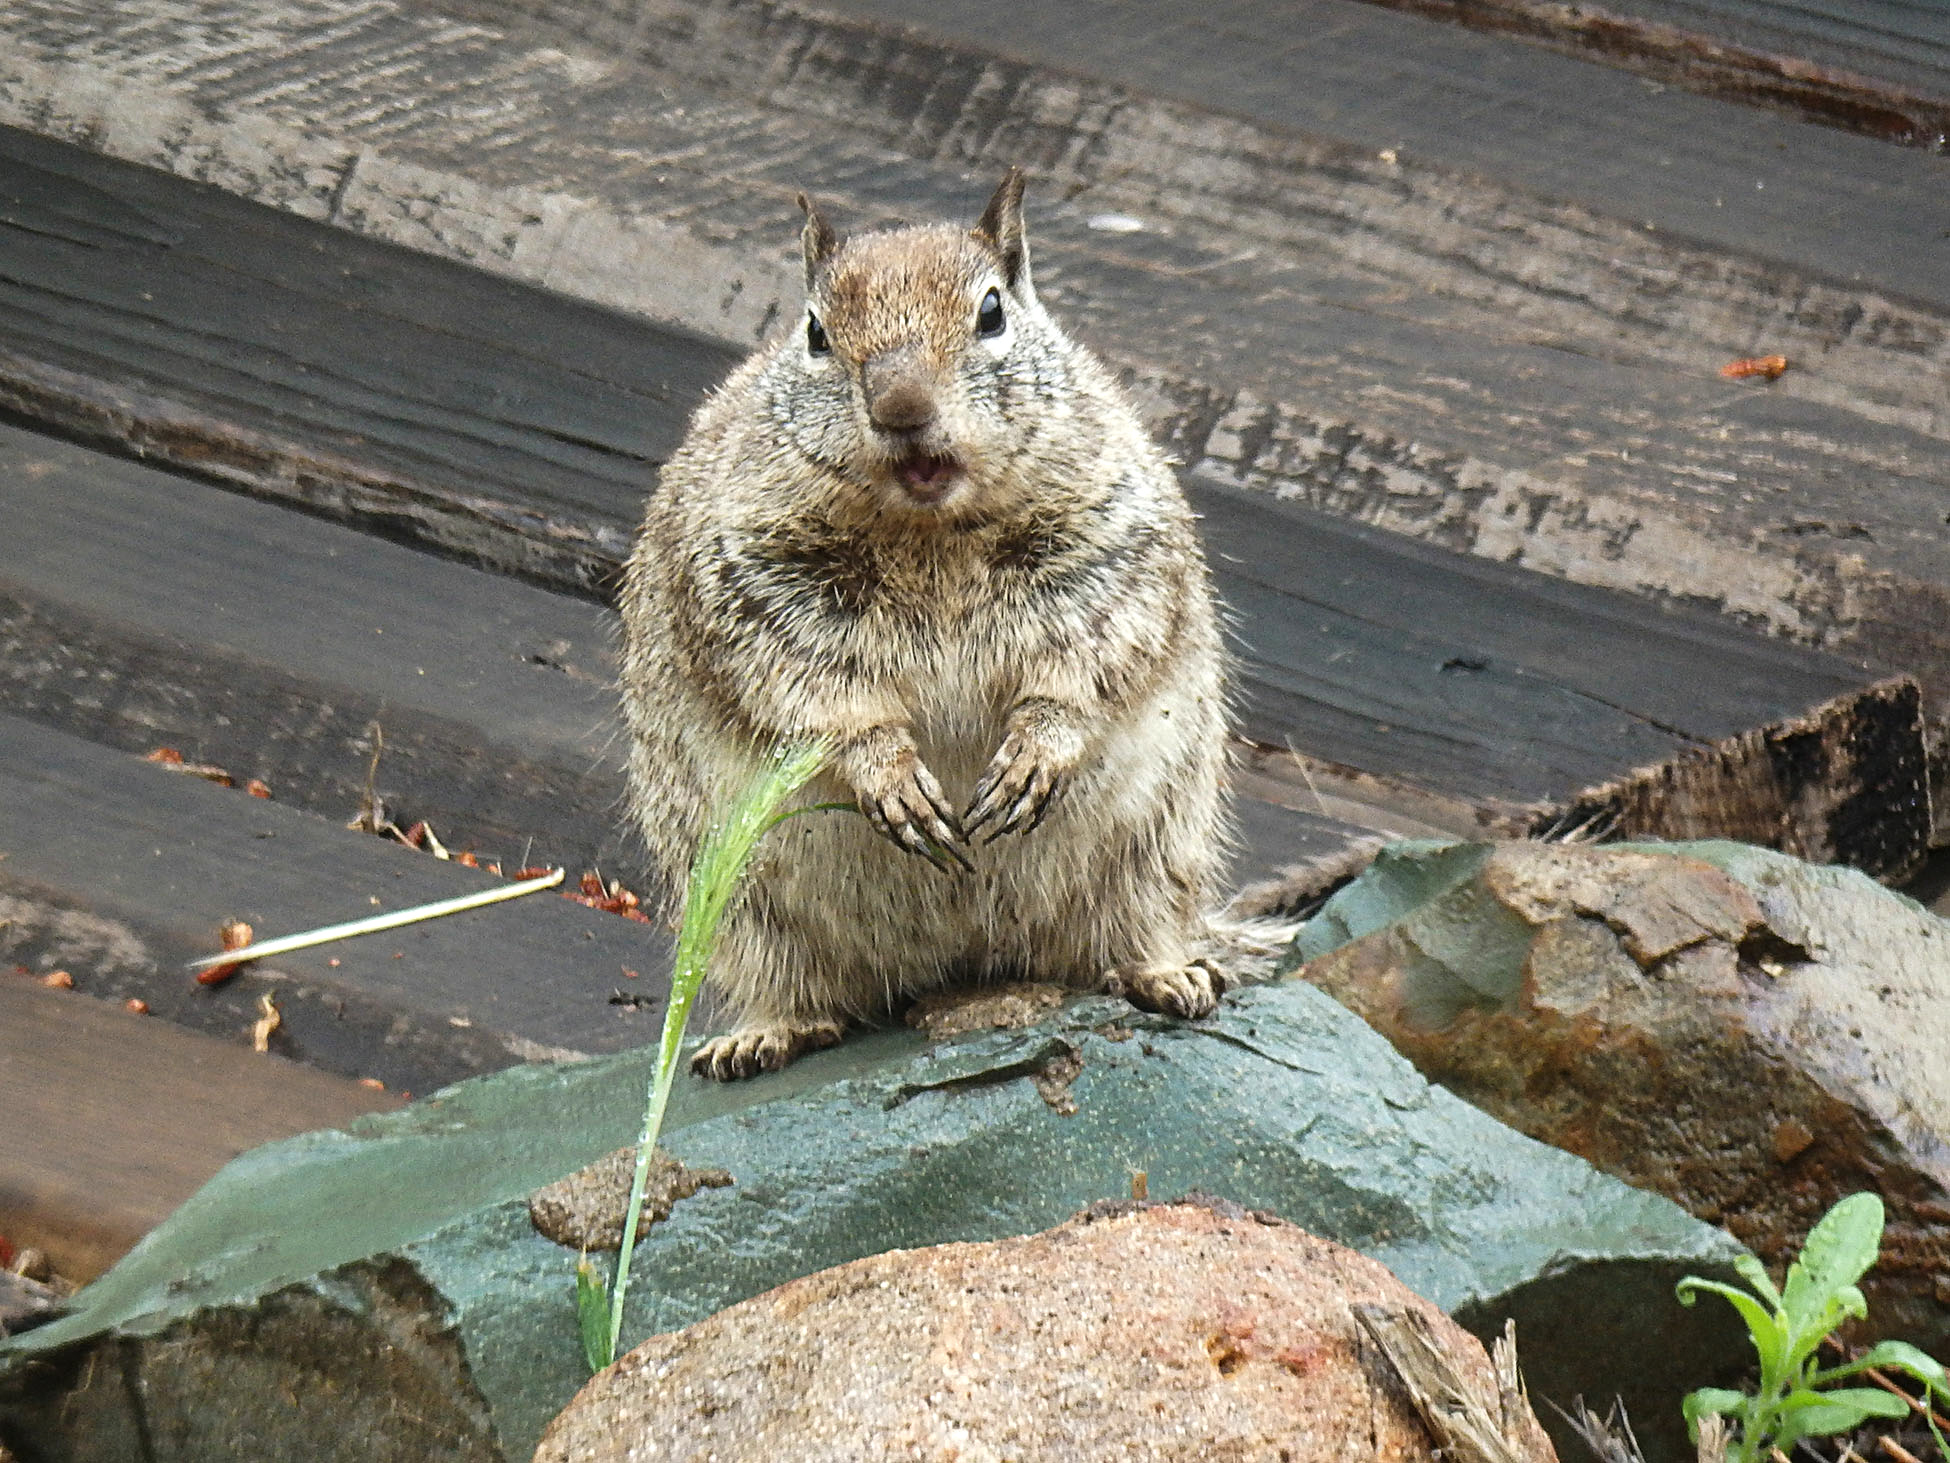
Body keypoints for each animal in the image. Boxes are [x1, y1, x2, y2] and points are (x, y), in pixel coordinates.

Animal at [620, 174, 1232, 1092]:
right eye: (814, 331)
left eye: (992, 311)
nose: (901, 406)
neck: (930, 532)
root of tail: (962, 958)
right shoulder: (757, 584)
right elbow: (813, 693)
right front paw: (890, 774)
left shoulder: (1107, 547)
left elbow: (1088, 659)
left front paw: (1037, 749)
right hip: (740, 903)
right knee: (799, 986)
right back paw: (765, 1033)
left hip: (1157, 849)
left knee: (1125, 936)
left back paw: (1164, 973)